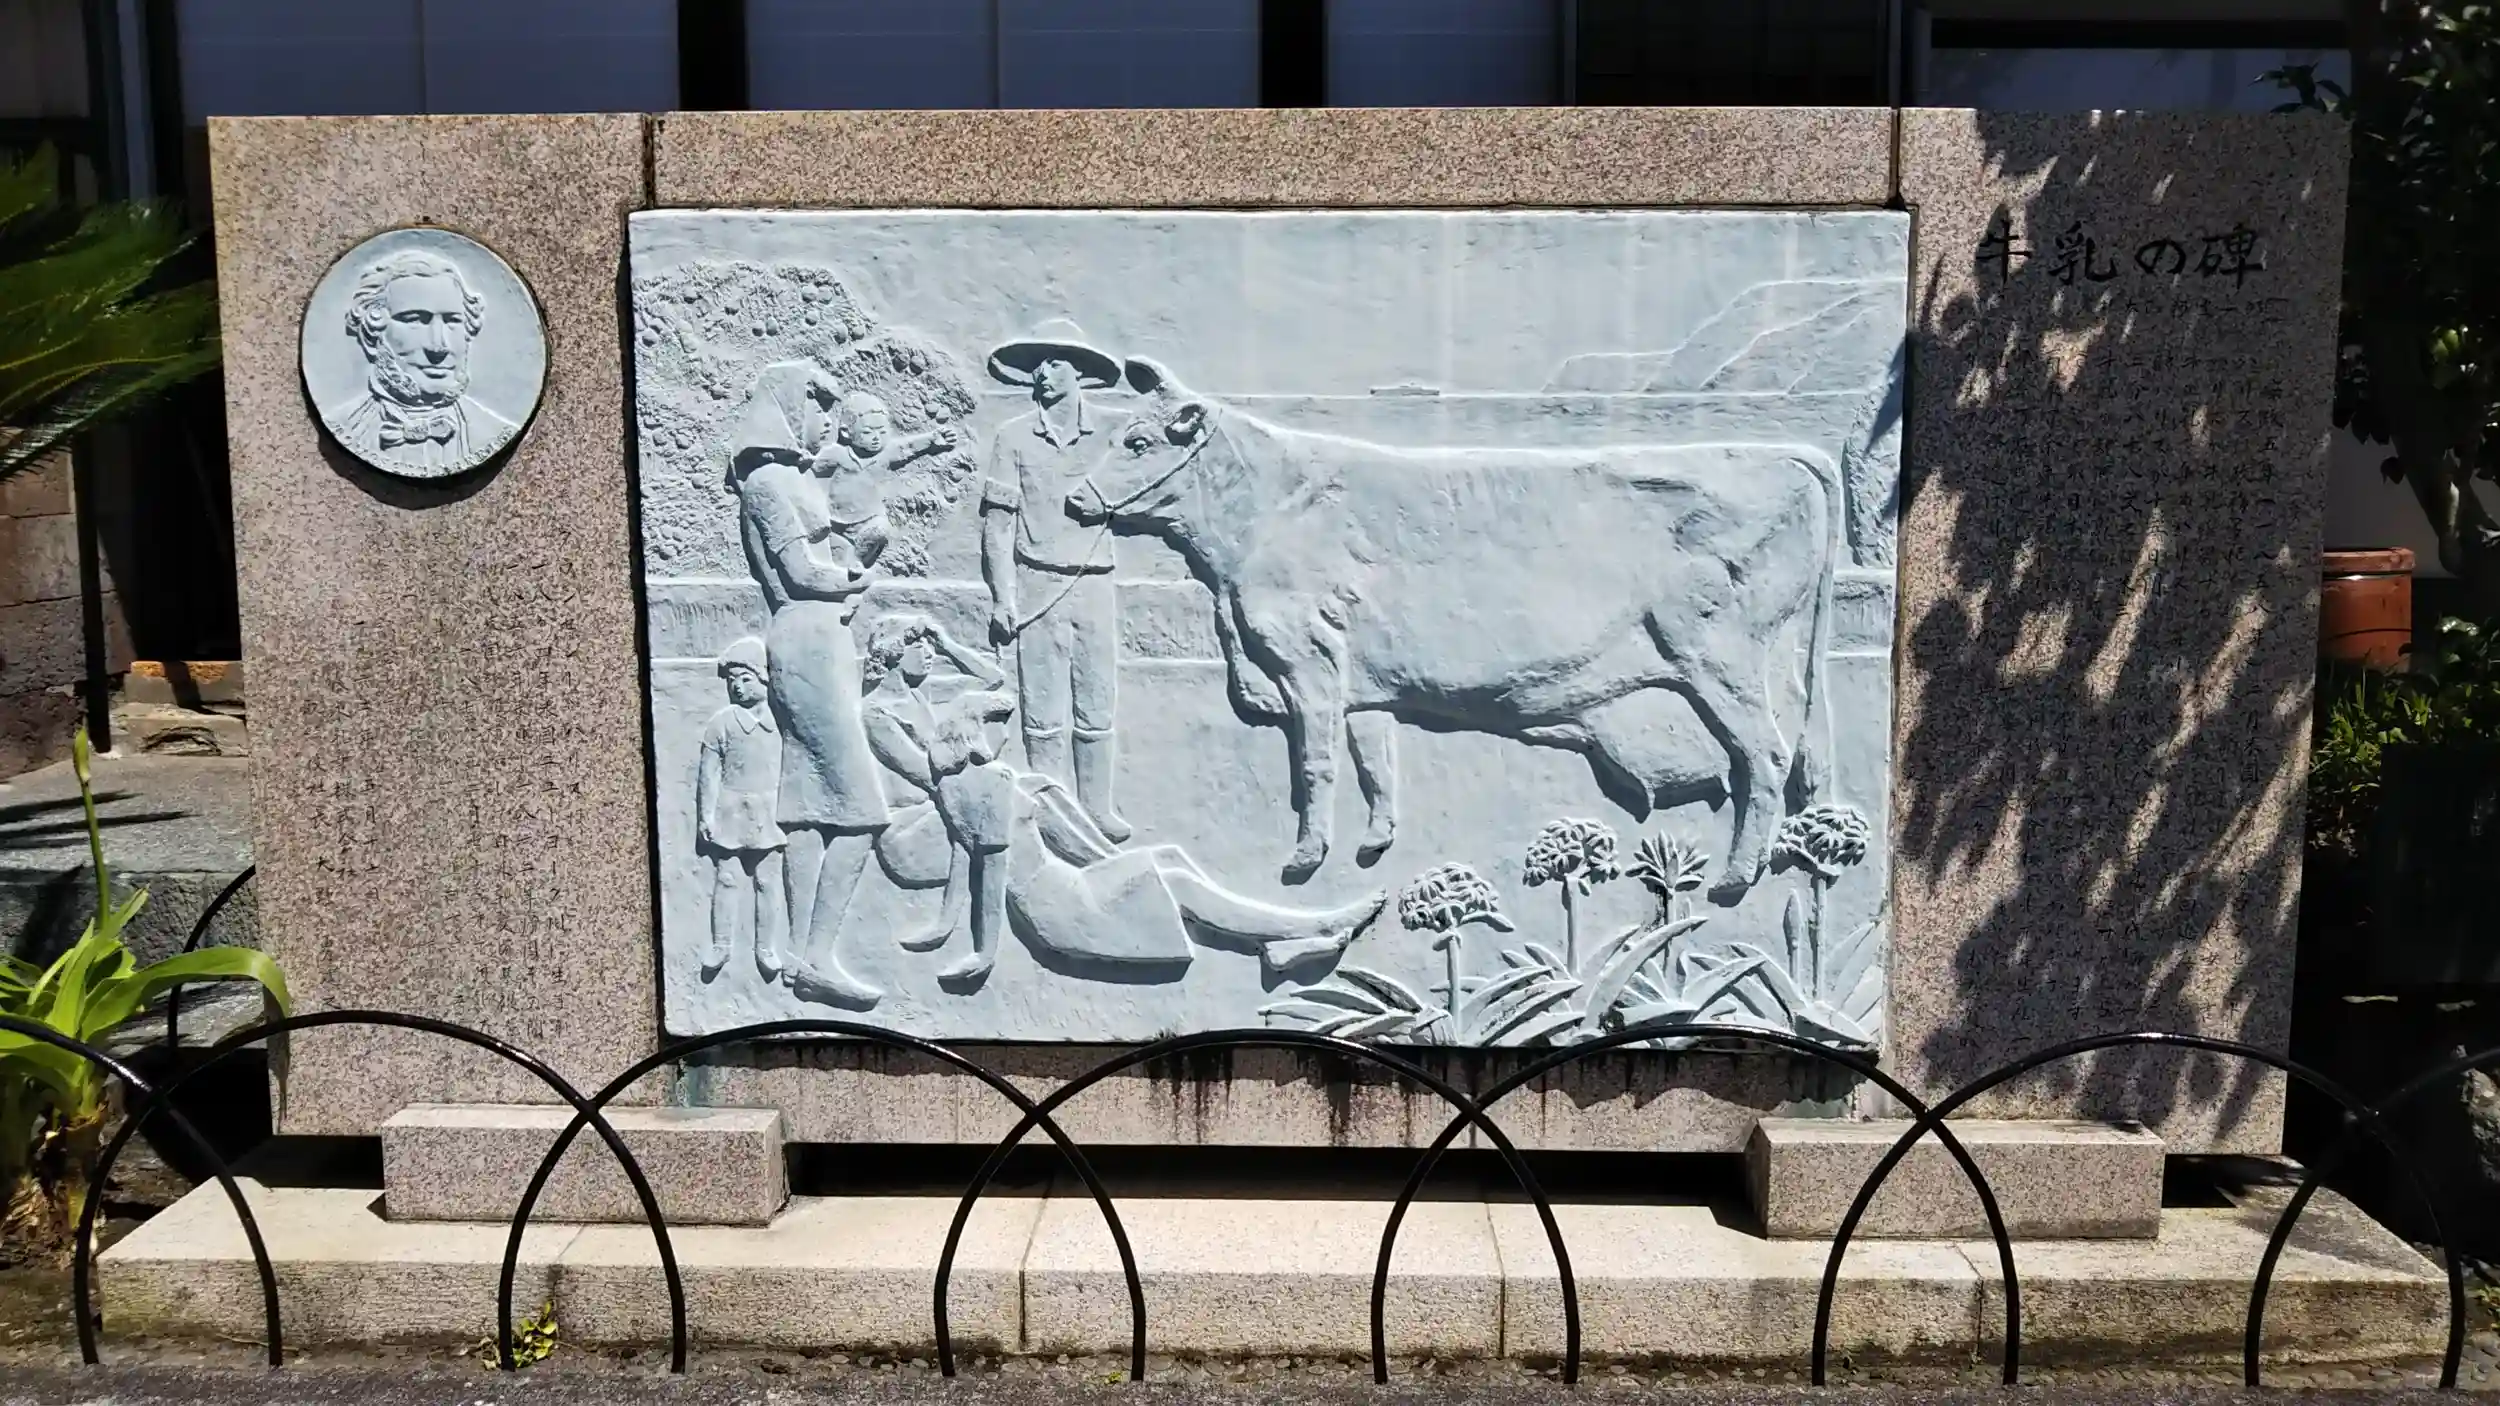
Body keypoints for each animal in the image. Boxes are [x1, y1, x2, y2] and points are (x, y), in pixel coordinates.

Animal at [1066, 356, 1842, 901]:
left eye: (1137, 440)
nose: (1074, 499)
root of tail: (1785, 454)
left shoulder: (1307, 662)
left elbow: (1315, 764)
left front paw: (1305, 858)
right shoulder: (1363, 684)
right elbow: (1375, 762)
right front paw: (1374, 846)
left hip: (1720, 657)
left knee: (1763, 757)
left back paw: (1735, 880)